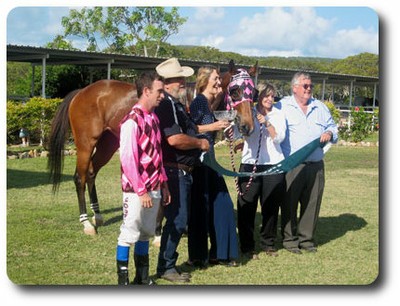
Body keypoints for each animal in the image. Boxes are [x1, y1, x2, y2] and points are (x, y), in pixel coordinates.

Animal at [48, 61, 258, 234]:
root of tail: (81, 92)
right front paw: (158, 231)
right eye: (235, 90)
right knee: (80, 177)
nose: (247, 126)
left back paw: (97, 216)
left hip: (107, 143)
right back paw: (87, 223)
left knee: (91, 172)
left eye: (253, 92)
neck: (188, 102)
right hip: (85, 143)